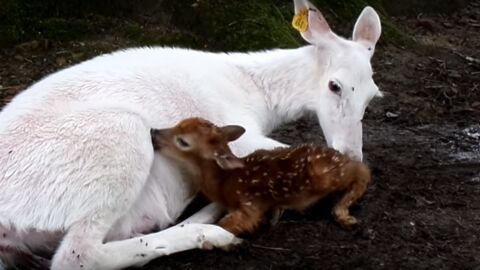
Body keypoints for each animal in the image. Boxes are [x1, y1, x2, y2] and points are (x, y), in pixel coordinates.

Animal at [0, 1, 382, 268]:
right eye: (334, 86)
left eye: (373, 95)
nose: (352, 153)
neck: (254, 91)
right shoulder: (236, 128)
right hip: (119, 141)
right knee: (78, 255)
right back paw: (210, 230)